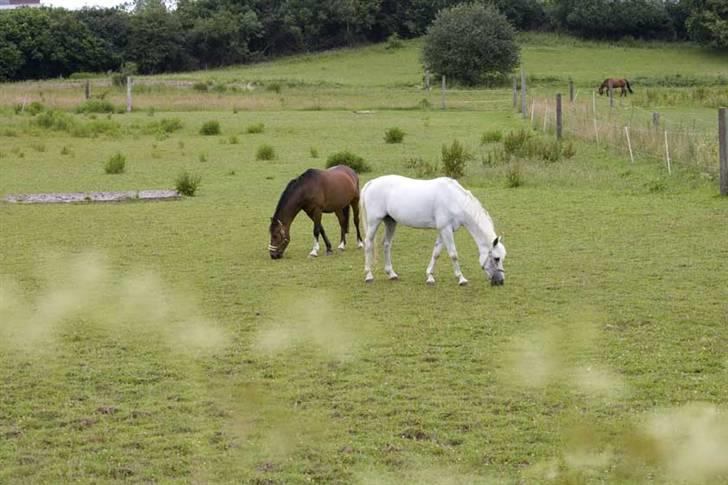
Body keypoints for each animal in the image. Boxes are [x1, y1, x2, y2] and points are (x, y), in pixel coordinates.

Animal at [360, 176, 506, 286]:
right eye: (496, 258)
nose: (500, 281)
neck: (454, 199)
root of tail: (372, 182)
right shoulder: (445, 229)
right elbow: (453, 254)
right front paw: (461, 278)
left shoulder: (444, 230)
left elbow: (436, 253)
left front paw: (430, 276)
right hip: (374, 222)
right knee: (368, 243)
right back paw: (369, 275)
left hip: (390, 222)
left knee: (386, 244)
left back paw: (391, 274)